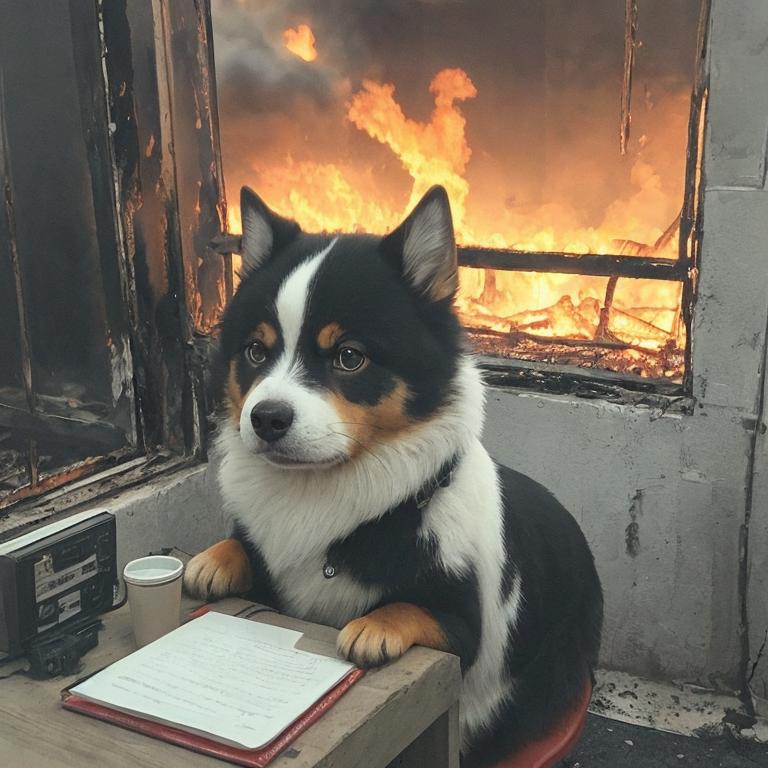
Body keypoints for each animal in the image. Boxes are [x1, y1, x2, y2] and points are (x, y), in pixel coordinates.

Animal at [184, 188, 600, 768]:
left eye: (349, 357)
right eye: (255, 351)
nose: (265, 419)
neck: (327, 490)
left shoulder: (462, 625)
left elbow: (409, 606)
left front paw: (373, 626)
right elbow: (242, 548)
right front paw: (216, 558)